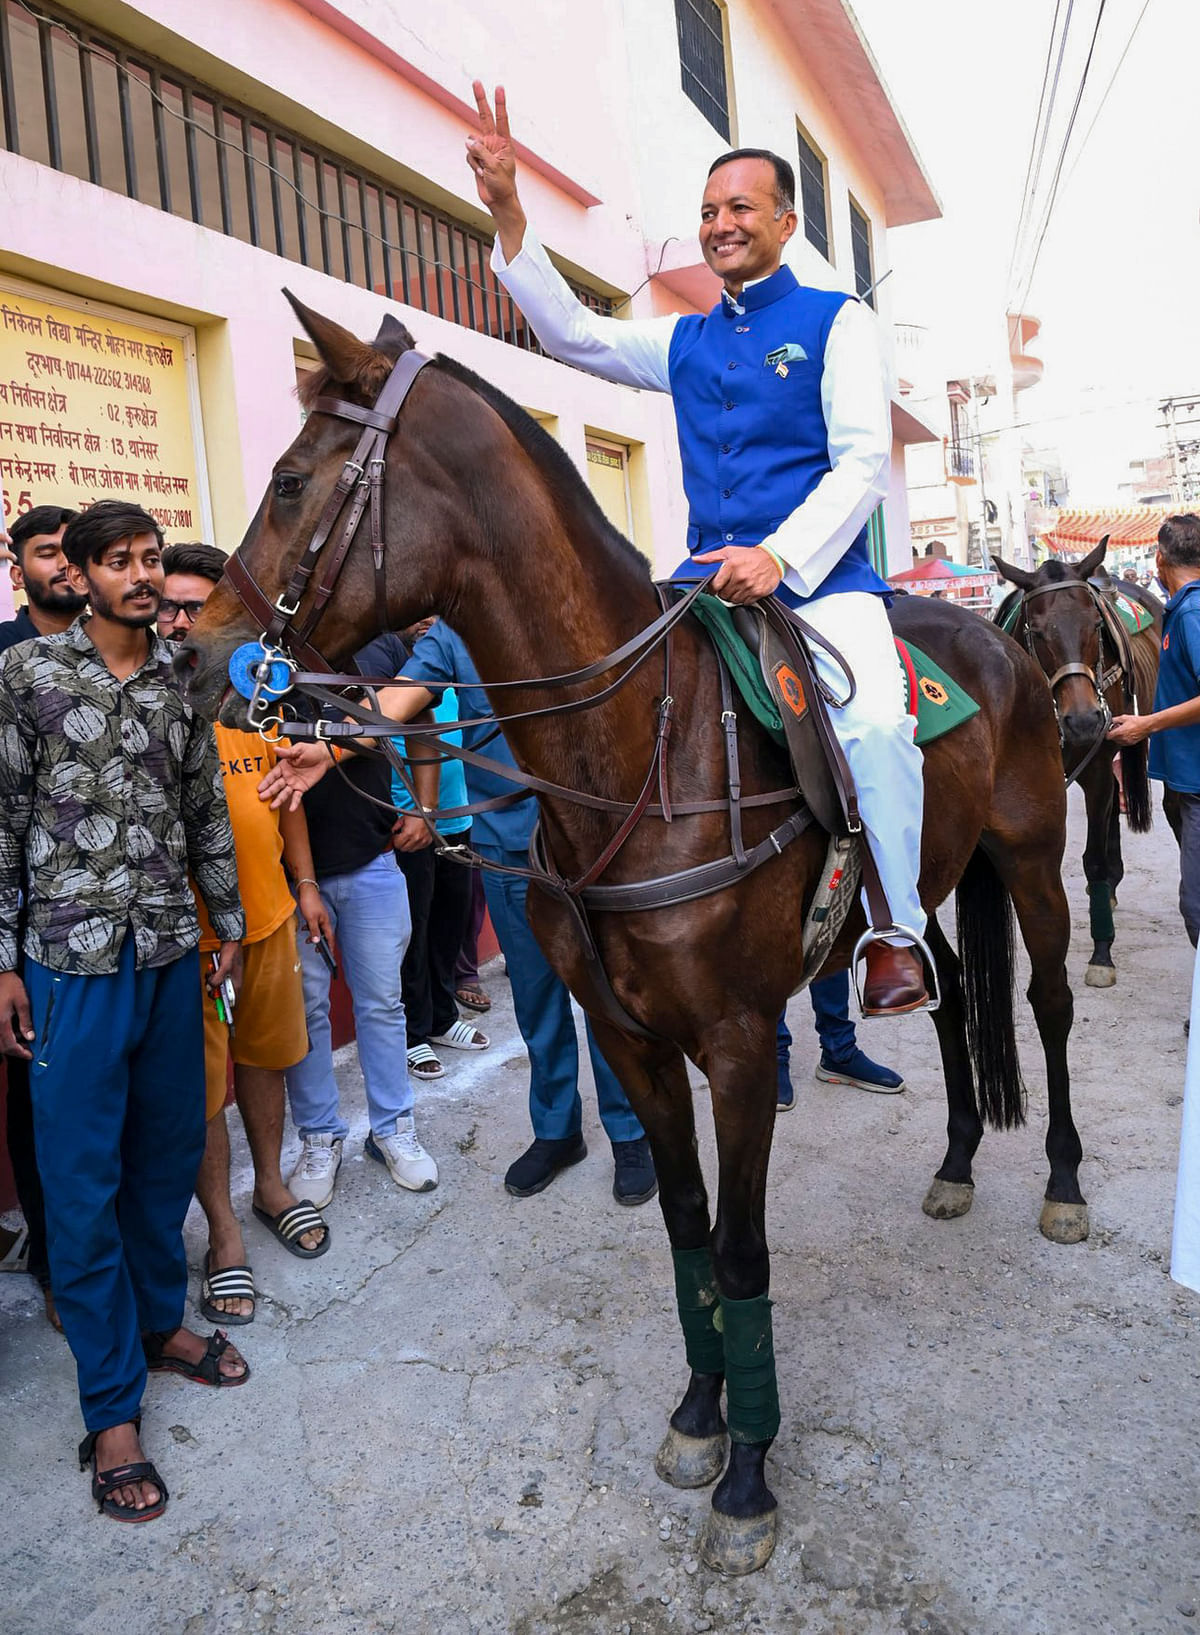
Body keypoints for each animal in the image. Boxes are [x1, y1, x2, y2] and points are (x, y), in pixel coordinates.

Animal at [176, 300, 1092, 1576]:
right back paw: (956, 1161)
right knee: (954, 993)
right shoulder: (631, 1040)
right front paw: (703, 1417)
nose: (193, 654)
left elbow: (744, 1250)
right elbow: (686, 1227)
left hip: (1035, 863)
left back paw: (1060, 1183)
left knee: (1048, 1008)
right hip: (925, 892)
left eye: (293, 480)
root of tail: (1004, 639)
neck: (641, 749)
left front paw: (750, 1478)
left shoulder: (741, 1047)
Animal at [994, 546, 1164, 981]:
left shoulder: (1098, 767)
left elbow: (1094, 860)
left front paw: (1102, 953)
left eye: (1095, 624)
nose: (1085, 720)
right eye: (1037, 632)